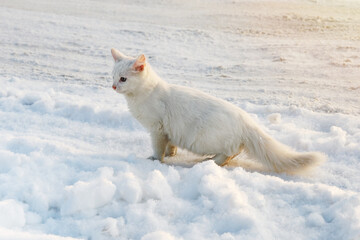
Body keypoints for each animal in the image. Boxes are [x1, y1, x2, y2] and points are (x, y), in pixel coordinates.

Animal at [109, 48, 324, 172]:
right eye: (112, 76)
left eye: (123, 79)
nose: (113, 86)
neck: (142, 96)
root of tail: (246, 120)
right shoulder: (167, 131)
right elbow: (171, 146)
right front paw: (171, 155)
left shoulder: (157, 129)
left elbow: (158, 149)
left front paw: (155, 160)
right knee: (235, 152)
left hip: (207, 138)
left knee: (229, 153)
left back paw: (208, 162)